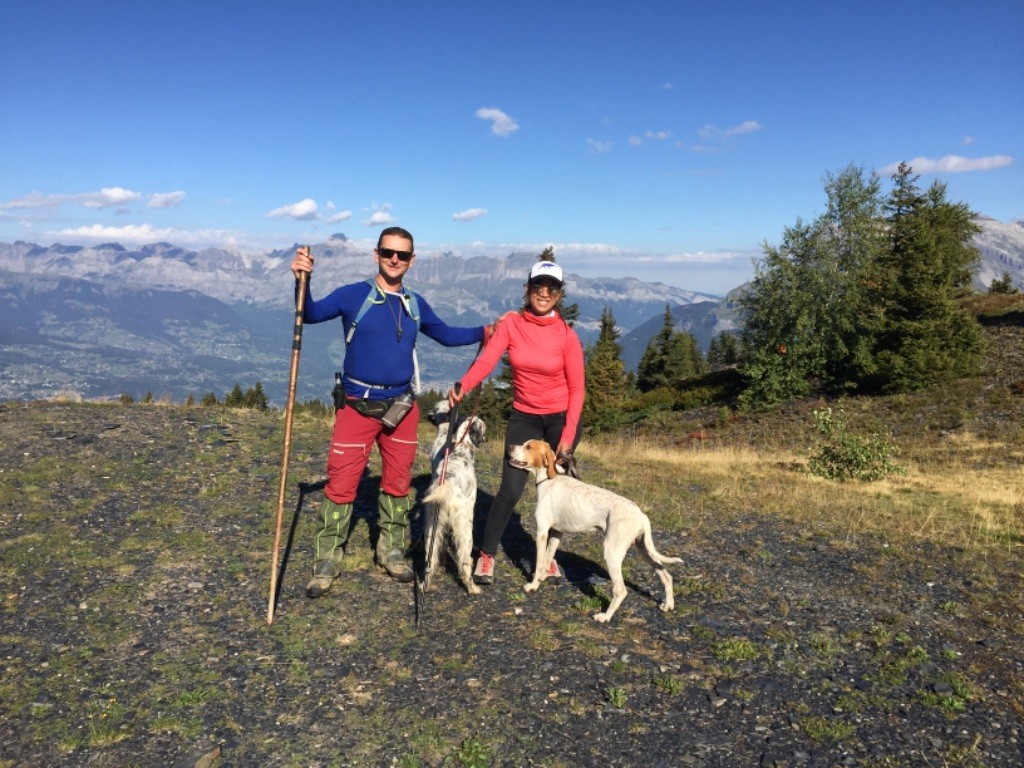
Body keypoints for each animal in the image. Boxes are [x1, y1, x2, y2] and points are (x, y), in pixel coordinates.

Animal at [423, 403, 487, 593]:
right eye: (483, 427)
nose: (485, 439)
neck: (460, 449)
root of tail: (448, 486)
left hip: (432, 528)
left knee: (430, 560)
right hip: (465, 529)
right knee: (464, 562)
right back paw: (473, 588)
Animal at [509, 438, 684, 626]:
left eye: (528, 447)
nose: (510, 446)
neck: (548, 480)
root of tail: (641, 514)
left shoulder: (542, 531)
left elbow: (540, 561)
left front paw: (533, 585)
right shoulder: (556, 533)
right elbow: (548, 558)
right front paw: (542, 578)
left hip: (612, 553)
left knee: (621, 590)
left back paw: (605, 616)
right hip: (644, 549)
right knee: (666, 576)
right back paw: (668, 605)